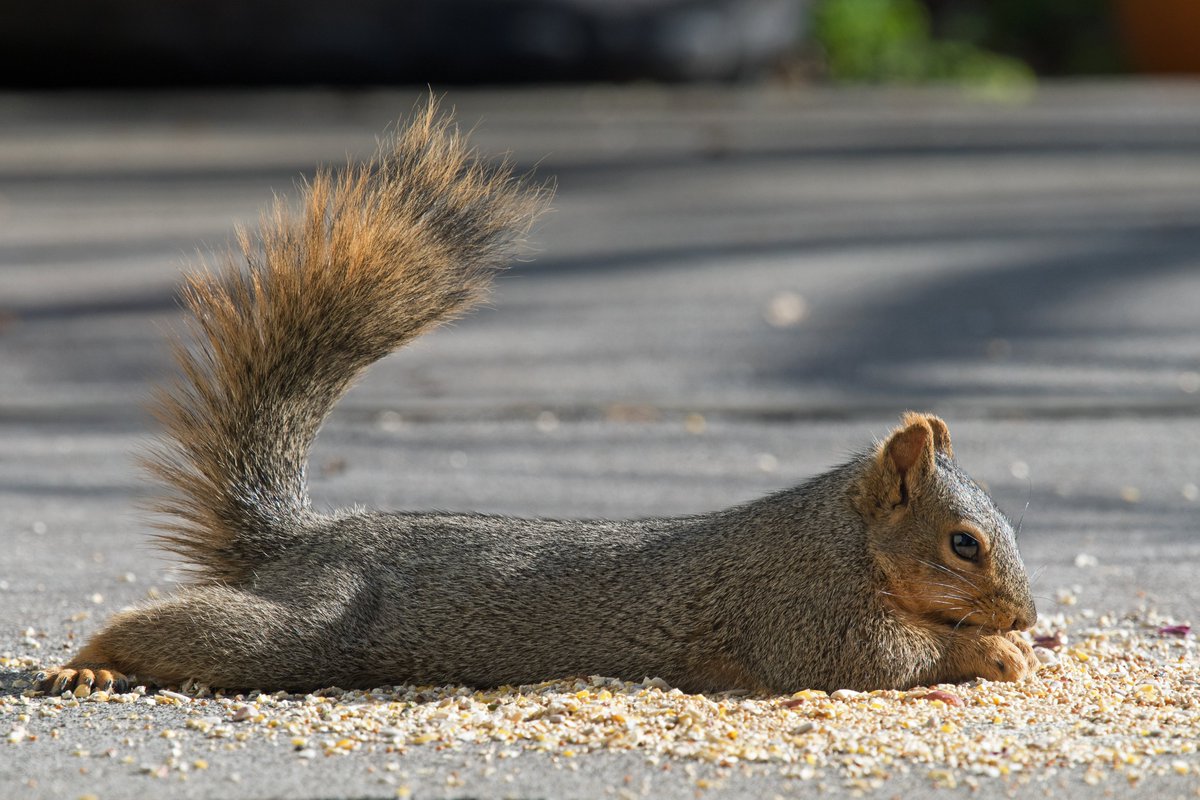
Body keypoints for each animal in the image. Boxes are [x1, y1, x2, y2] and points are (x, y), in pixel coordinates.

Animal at [38, 103, 1040, 697]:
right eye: (963, 542)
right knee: (202, 630)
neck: (842, 536)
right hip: (310, 626)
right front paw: (991, 652)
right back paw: (88, 666)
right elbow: (875, 660)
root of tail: (306, 541)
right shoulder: (799, 609)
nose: (1027, 616)